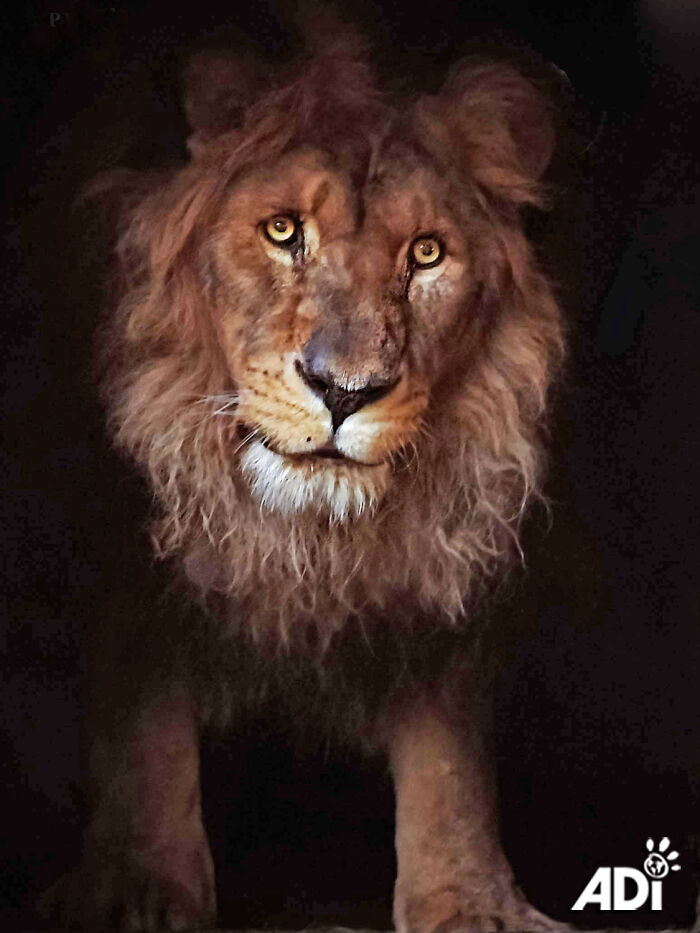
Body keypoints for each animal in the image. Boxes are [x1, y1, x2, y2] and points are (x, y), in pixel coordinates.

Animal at [42, 22, 567, 933]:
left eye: (426, 252)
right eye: (284, 230)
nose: (345, 390)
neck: (306, 538)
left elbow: (448, 749)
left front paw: (471, 900)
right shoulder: (128, 539)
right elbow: (143, 719)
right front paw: (138, 890)